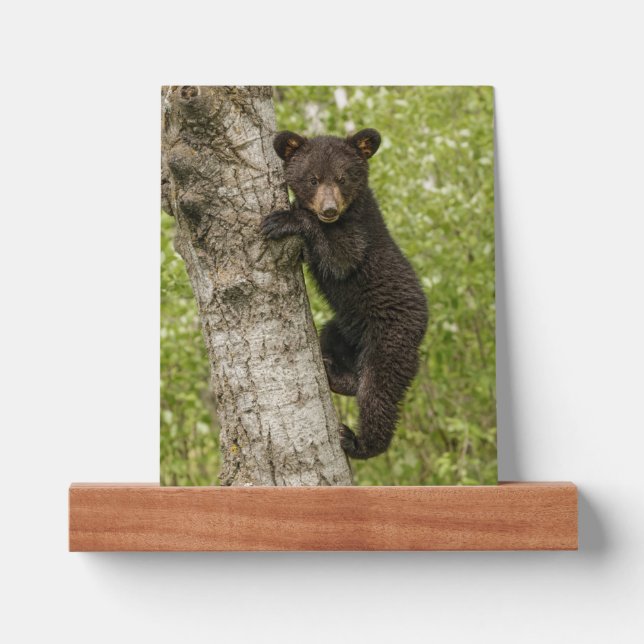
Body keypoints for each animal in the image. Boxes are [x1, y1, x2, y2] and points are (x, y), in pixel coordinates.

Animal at [260, 128, 428, 460]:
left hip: (390, 339)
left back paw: (359, 442)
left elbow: (341, 257)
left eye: (342, 178)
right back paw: (335, 373)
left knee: (378, 392)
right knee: (335, 346)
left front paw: (285, 219)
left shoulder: (360, 233)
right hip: (344, 328)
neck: (349, 211)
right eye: (313, 179)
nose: (329, 209)